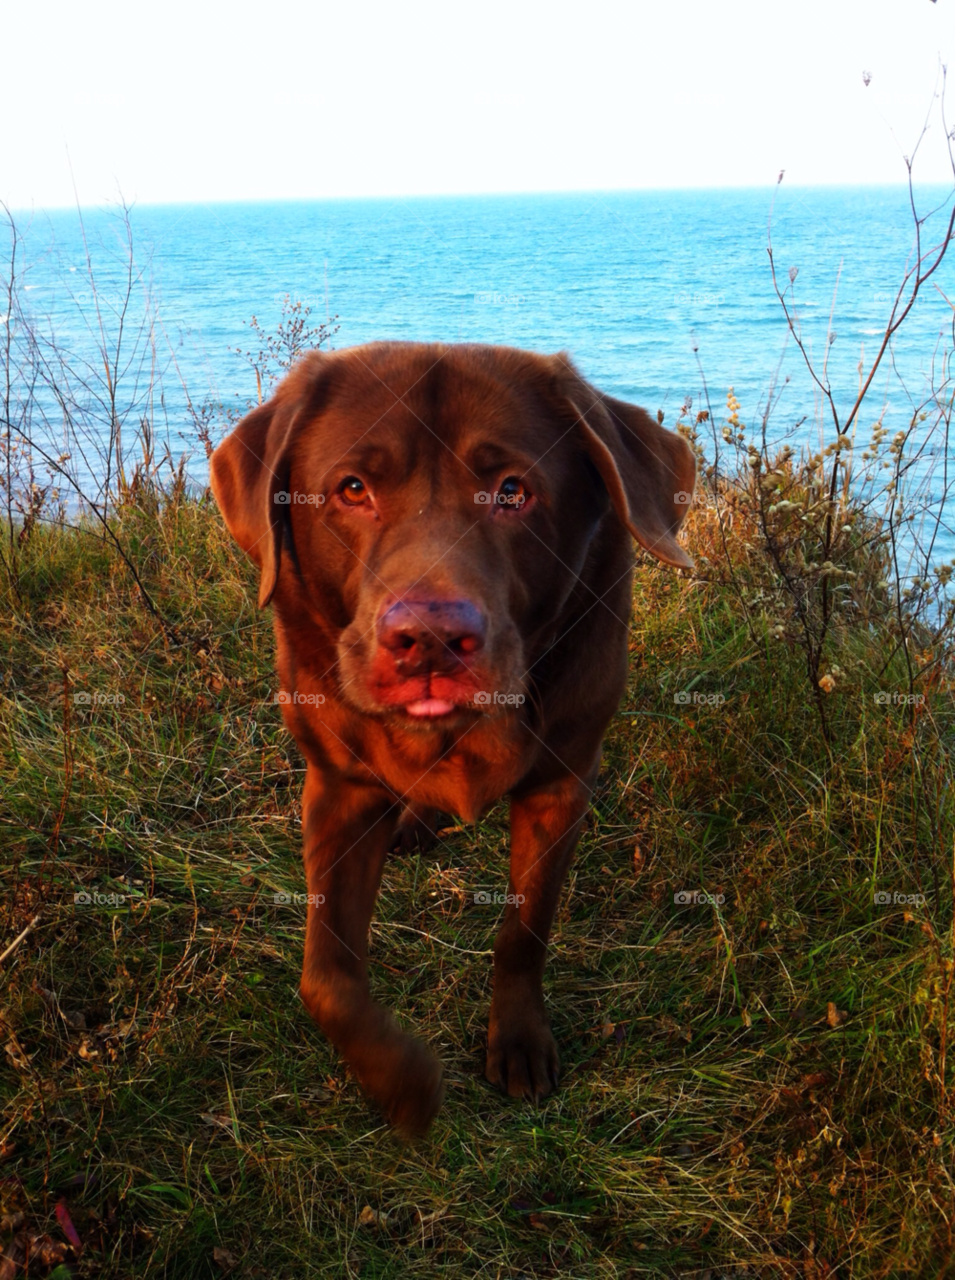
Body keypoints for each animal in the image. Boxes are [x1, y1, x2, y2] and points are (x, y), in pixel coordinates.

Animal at [209, 340, 691, 1131]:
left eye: (512, 491)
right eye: (351, 489)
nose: (430, 641)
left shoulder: (560, 787)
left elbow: (524, 931)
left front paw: (518, 1040)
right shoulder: (339, 790)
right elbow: (326, 977)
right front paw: (400, 1081)